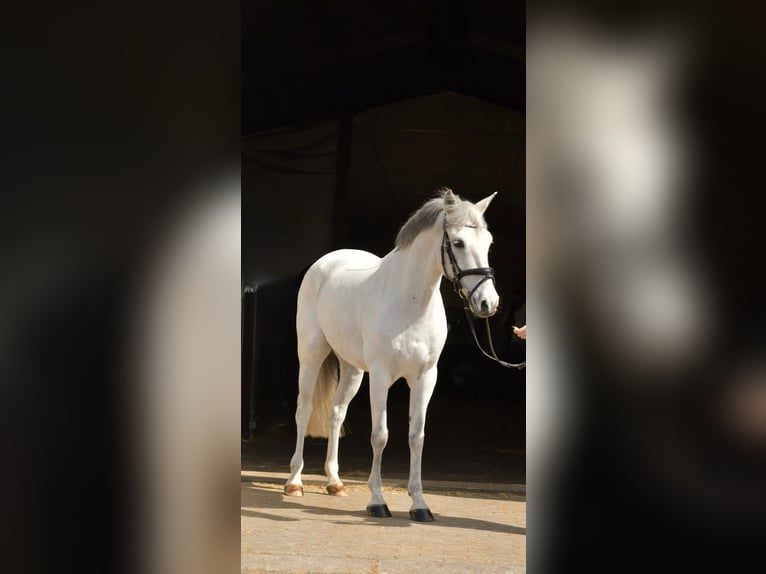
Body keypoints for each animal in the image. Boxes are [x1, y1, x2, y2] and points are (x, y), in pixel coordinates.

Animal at [284, 187, 500, 521]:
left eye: (488, 242)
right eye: (458, 243)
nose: (488, 303)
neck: (410, 301)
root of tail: (326, 262)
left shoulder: (425, 378)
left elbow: (416, 437)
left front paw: (420, 505)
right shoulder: (381, 378)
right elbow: (380, 435)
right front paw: (377, 501)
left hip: (352, 369)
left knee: (336, 413)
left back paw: (335, 482)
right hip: (311, 355)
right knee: (304, 410)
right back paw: (294, 482)